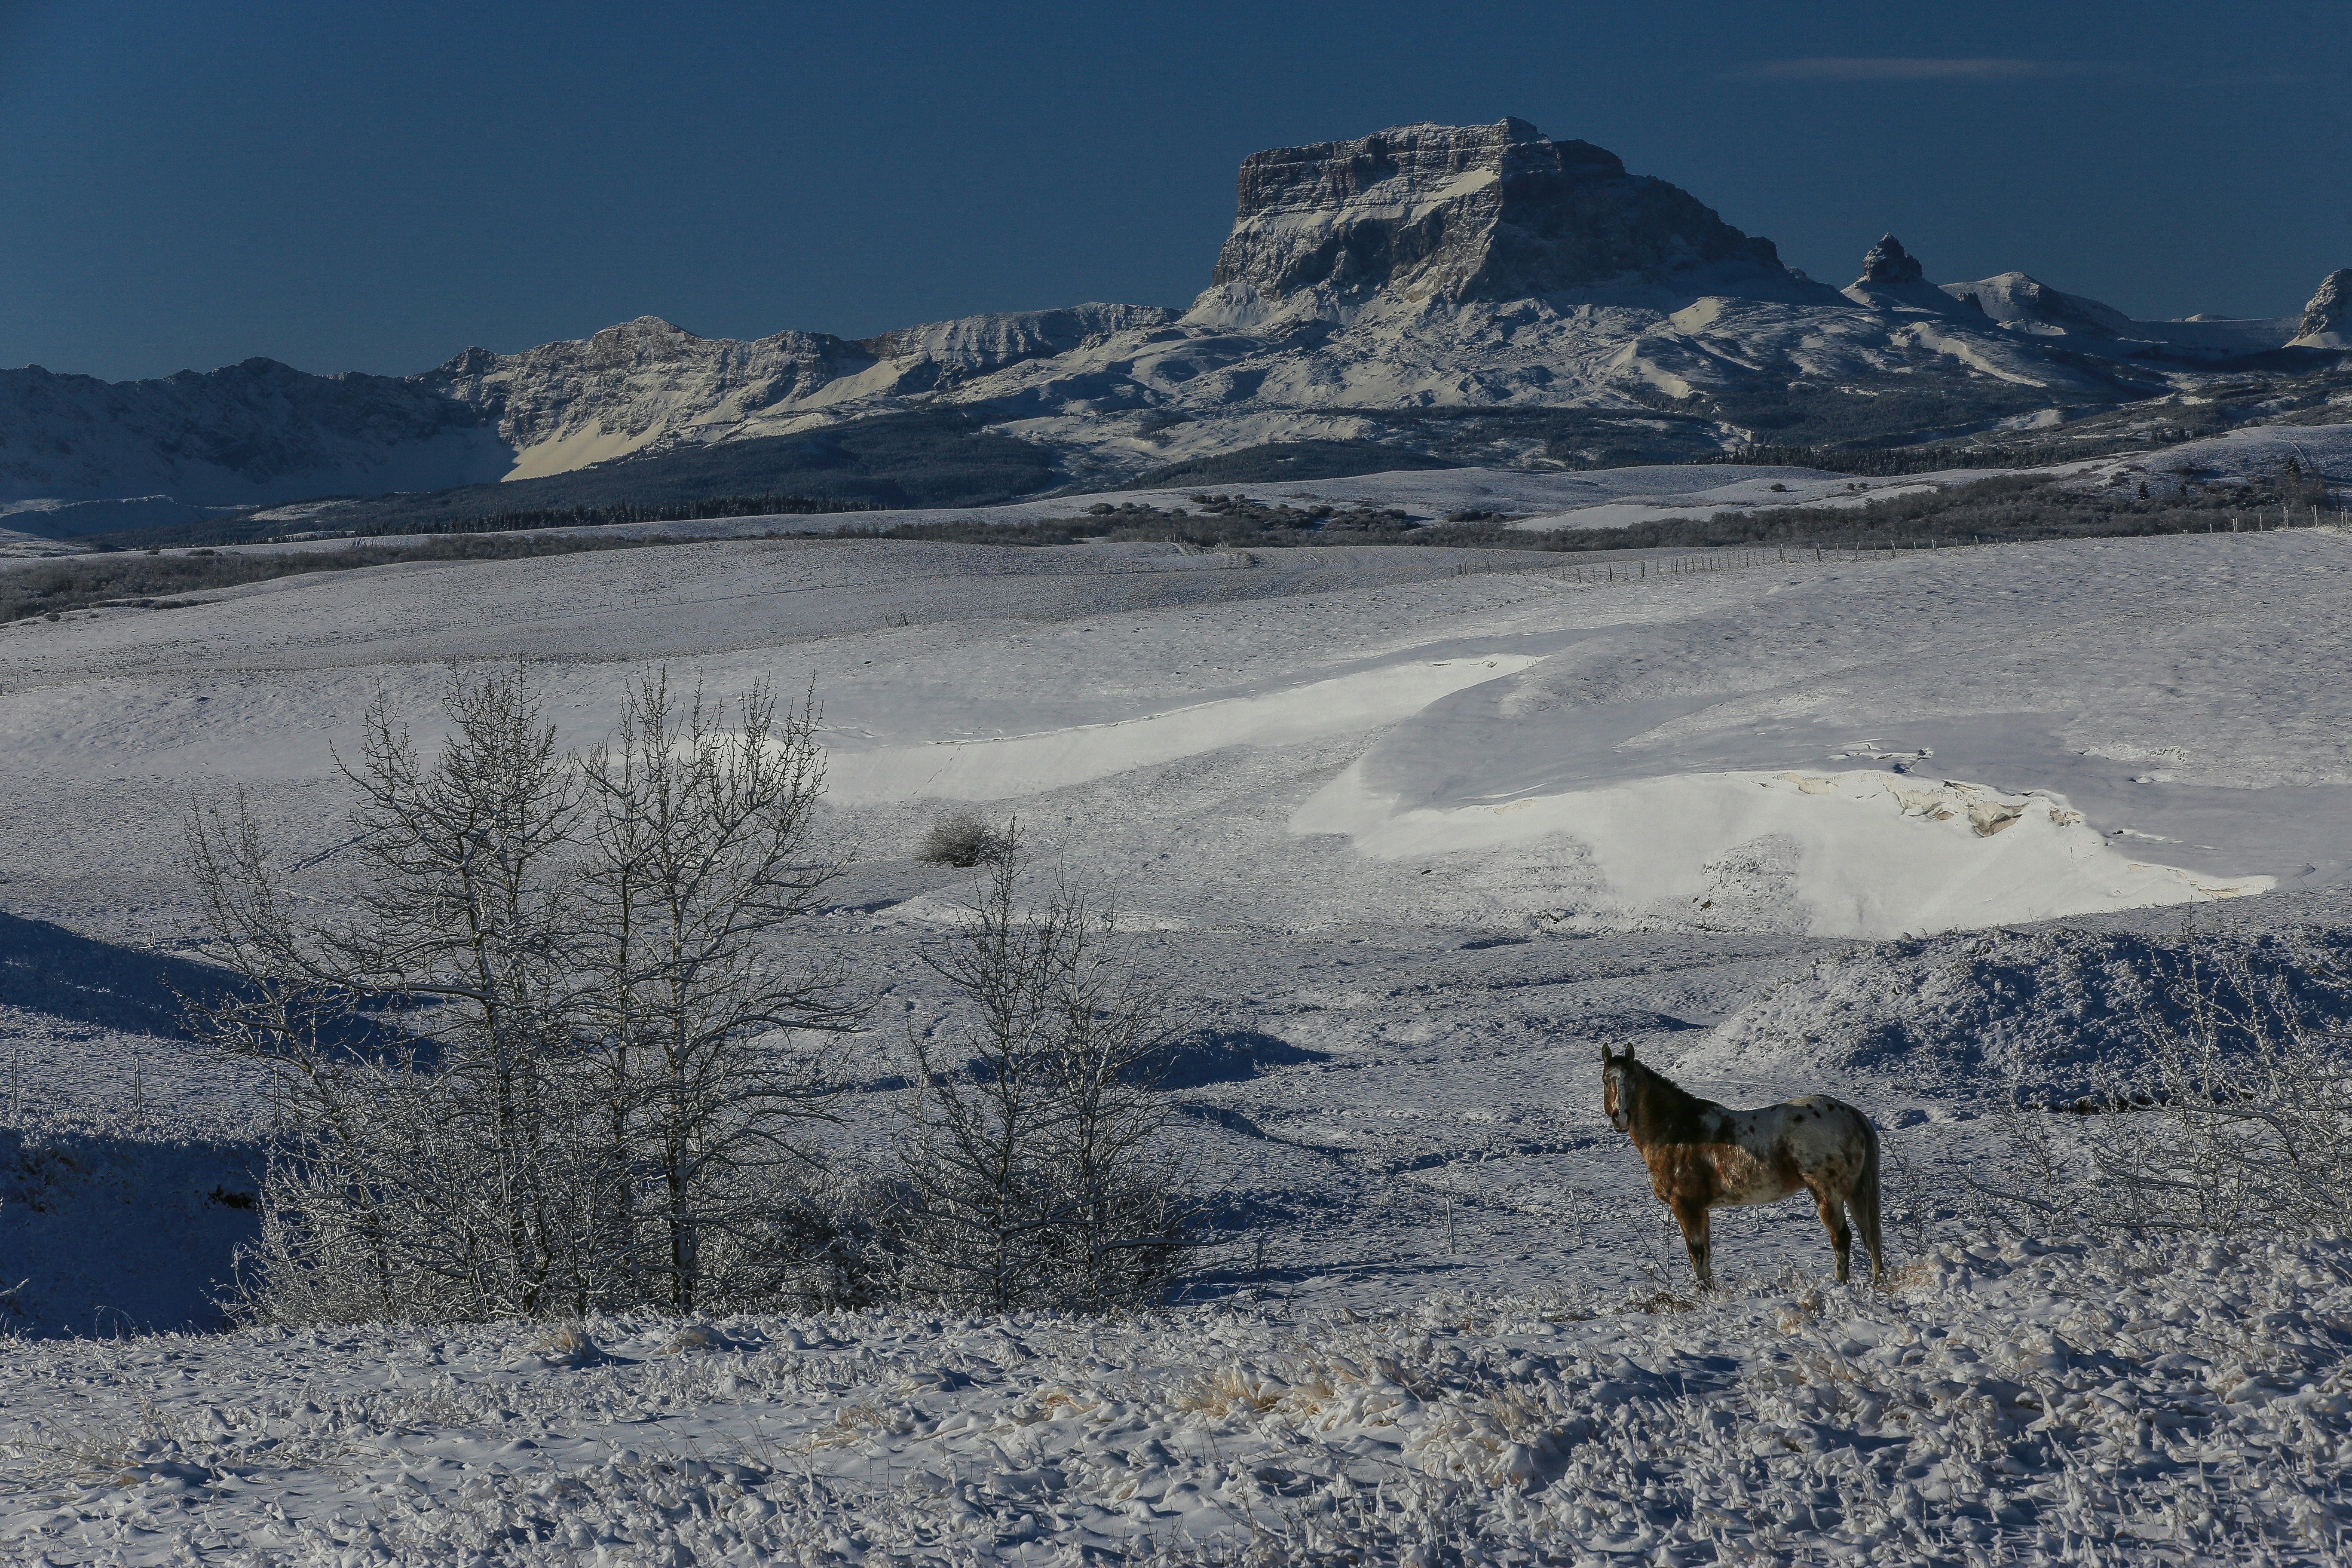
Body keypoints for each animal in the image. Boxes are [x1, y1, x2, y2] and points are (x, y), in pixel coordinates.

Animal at [1590, 1048, 1881, 1298]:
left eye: (1631, 1081)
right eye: (1606, 1080)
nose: (1621, 1117)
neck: (1679, 1133)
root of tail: (1853, 1115)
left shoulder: (1686, 1206)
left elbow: (1696, 1252)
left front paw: (1703, 1296)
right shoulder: (1701, 1209)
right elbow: (1705, 1253)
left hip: (1828, 1194)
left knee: (1842, 1238)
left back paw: (1839, 1287)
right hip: (1854, 1193)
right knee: (1869, 1235)